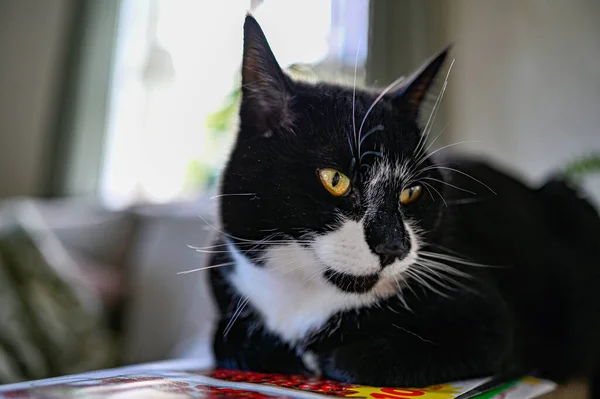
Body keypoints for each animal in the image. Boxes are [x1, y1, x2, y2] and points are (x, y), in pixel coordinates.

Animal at [205, 14, 600, 396]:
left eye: (412, 192)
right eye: (335, 179)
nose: (394, 245)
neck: (305, 300)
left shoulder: (486, 317)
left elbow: (358, 359)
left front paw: (326, 358)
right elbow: (223, 341)